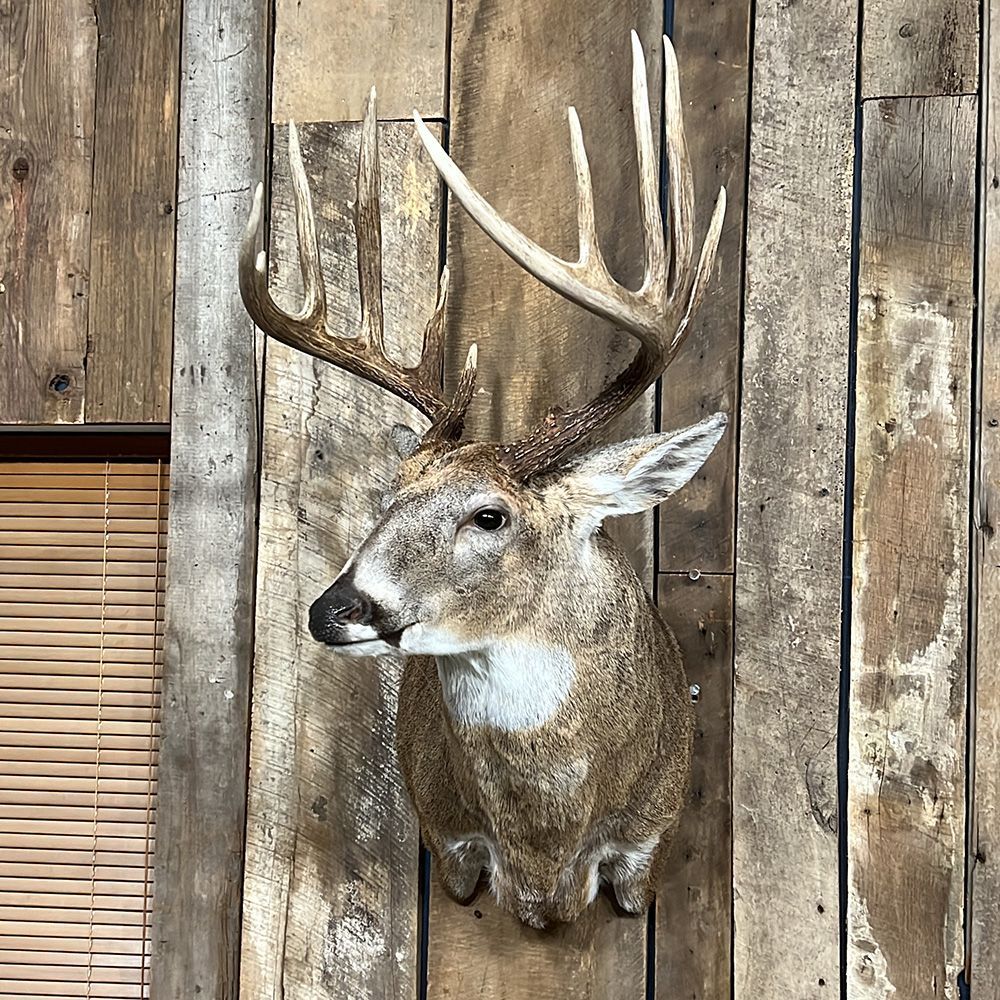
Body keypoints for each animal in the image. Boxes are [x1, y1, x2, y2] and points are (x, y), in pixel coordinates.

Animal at [240, 31, 726, 929]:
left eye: (490, 516)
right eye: (388, 494)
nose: (335, 608)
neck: (543, 857)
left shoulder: (645, 844)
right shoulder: (449, 835)